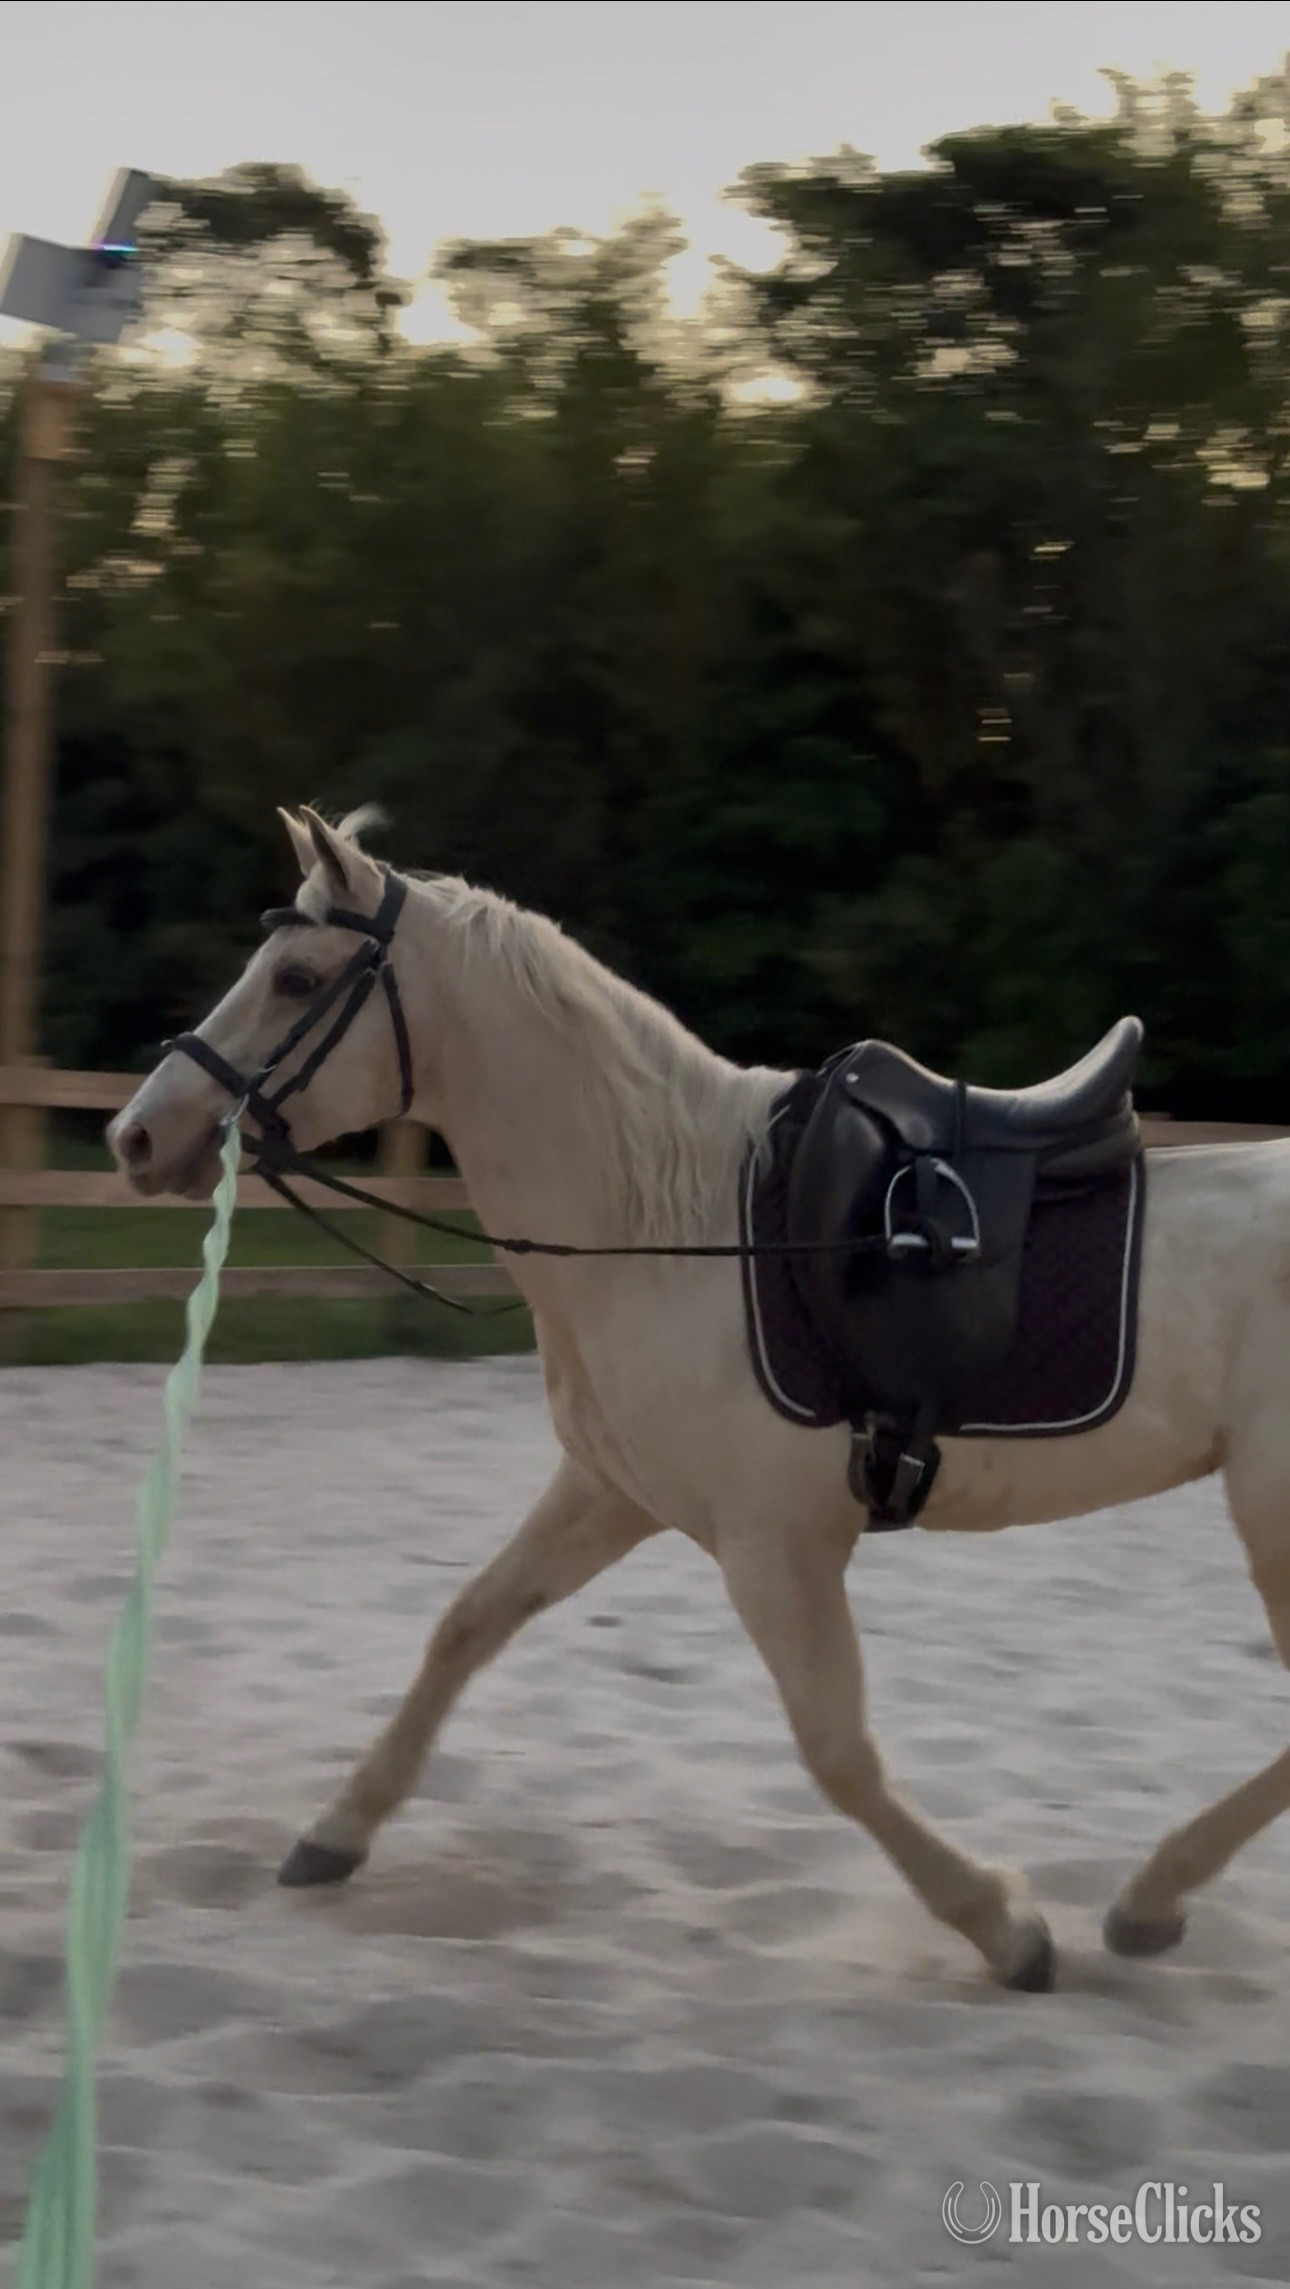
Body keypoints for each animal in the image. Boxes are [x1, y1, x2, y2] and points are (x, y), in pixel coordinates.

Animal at [108, 806, 1290, 1991]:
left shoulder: (775, 1546)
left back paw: (1148, 1898)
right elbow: (466, 1626)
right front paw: (335, 1832)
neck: (667, 1226)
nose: (136, 1136)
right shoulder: (610, 1494)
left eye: (298, 978)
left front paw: (1004, 1926)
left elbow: (838, 1752)